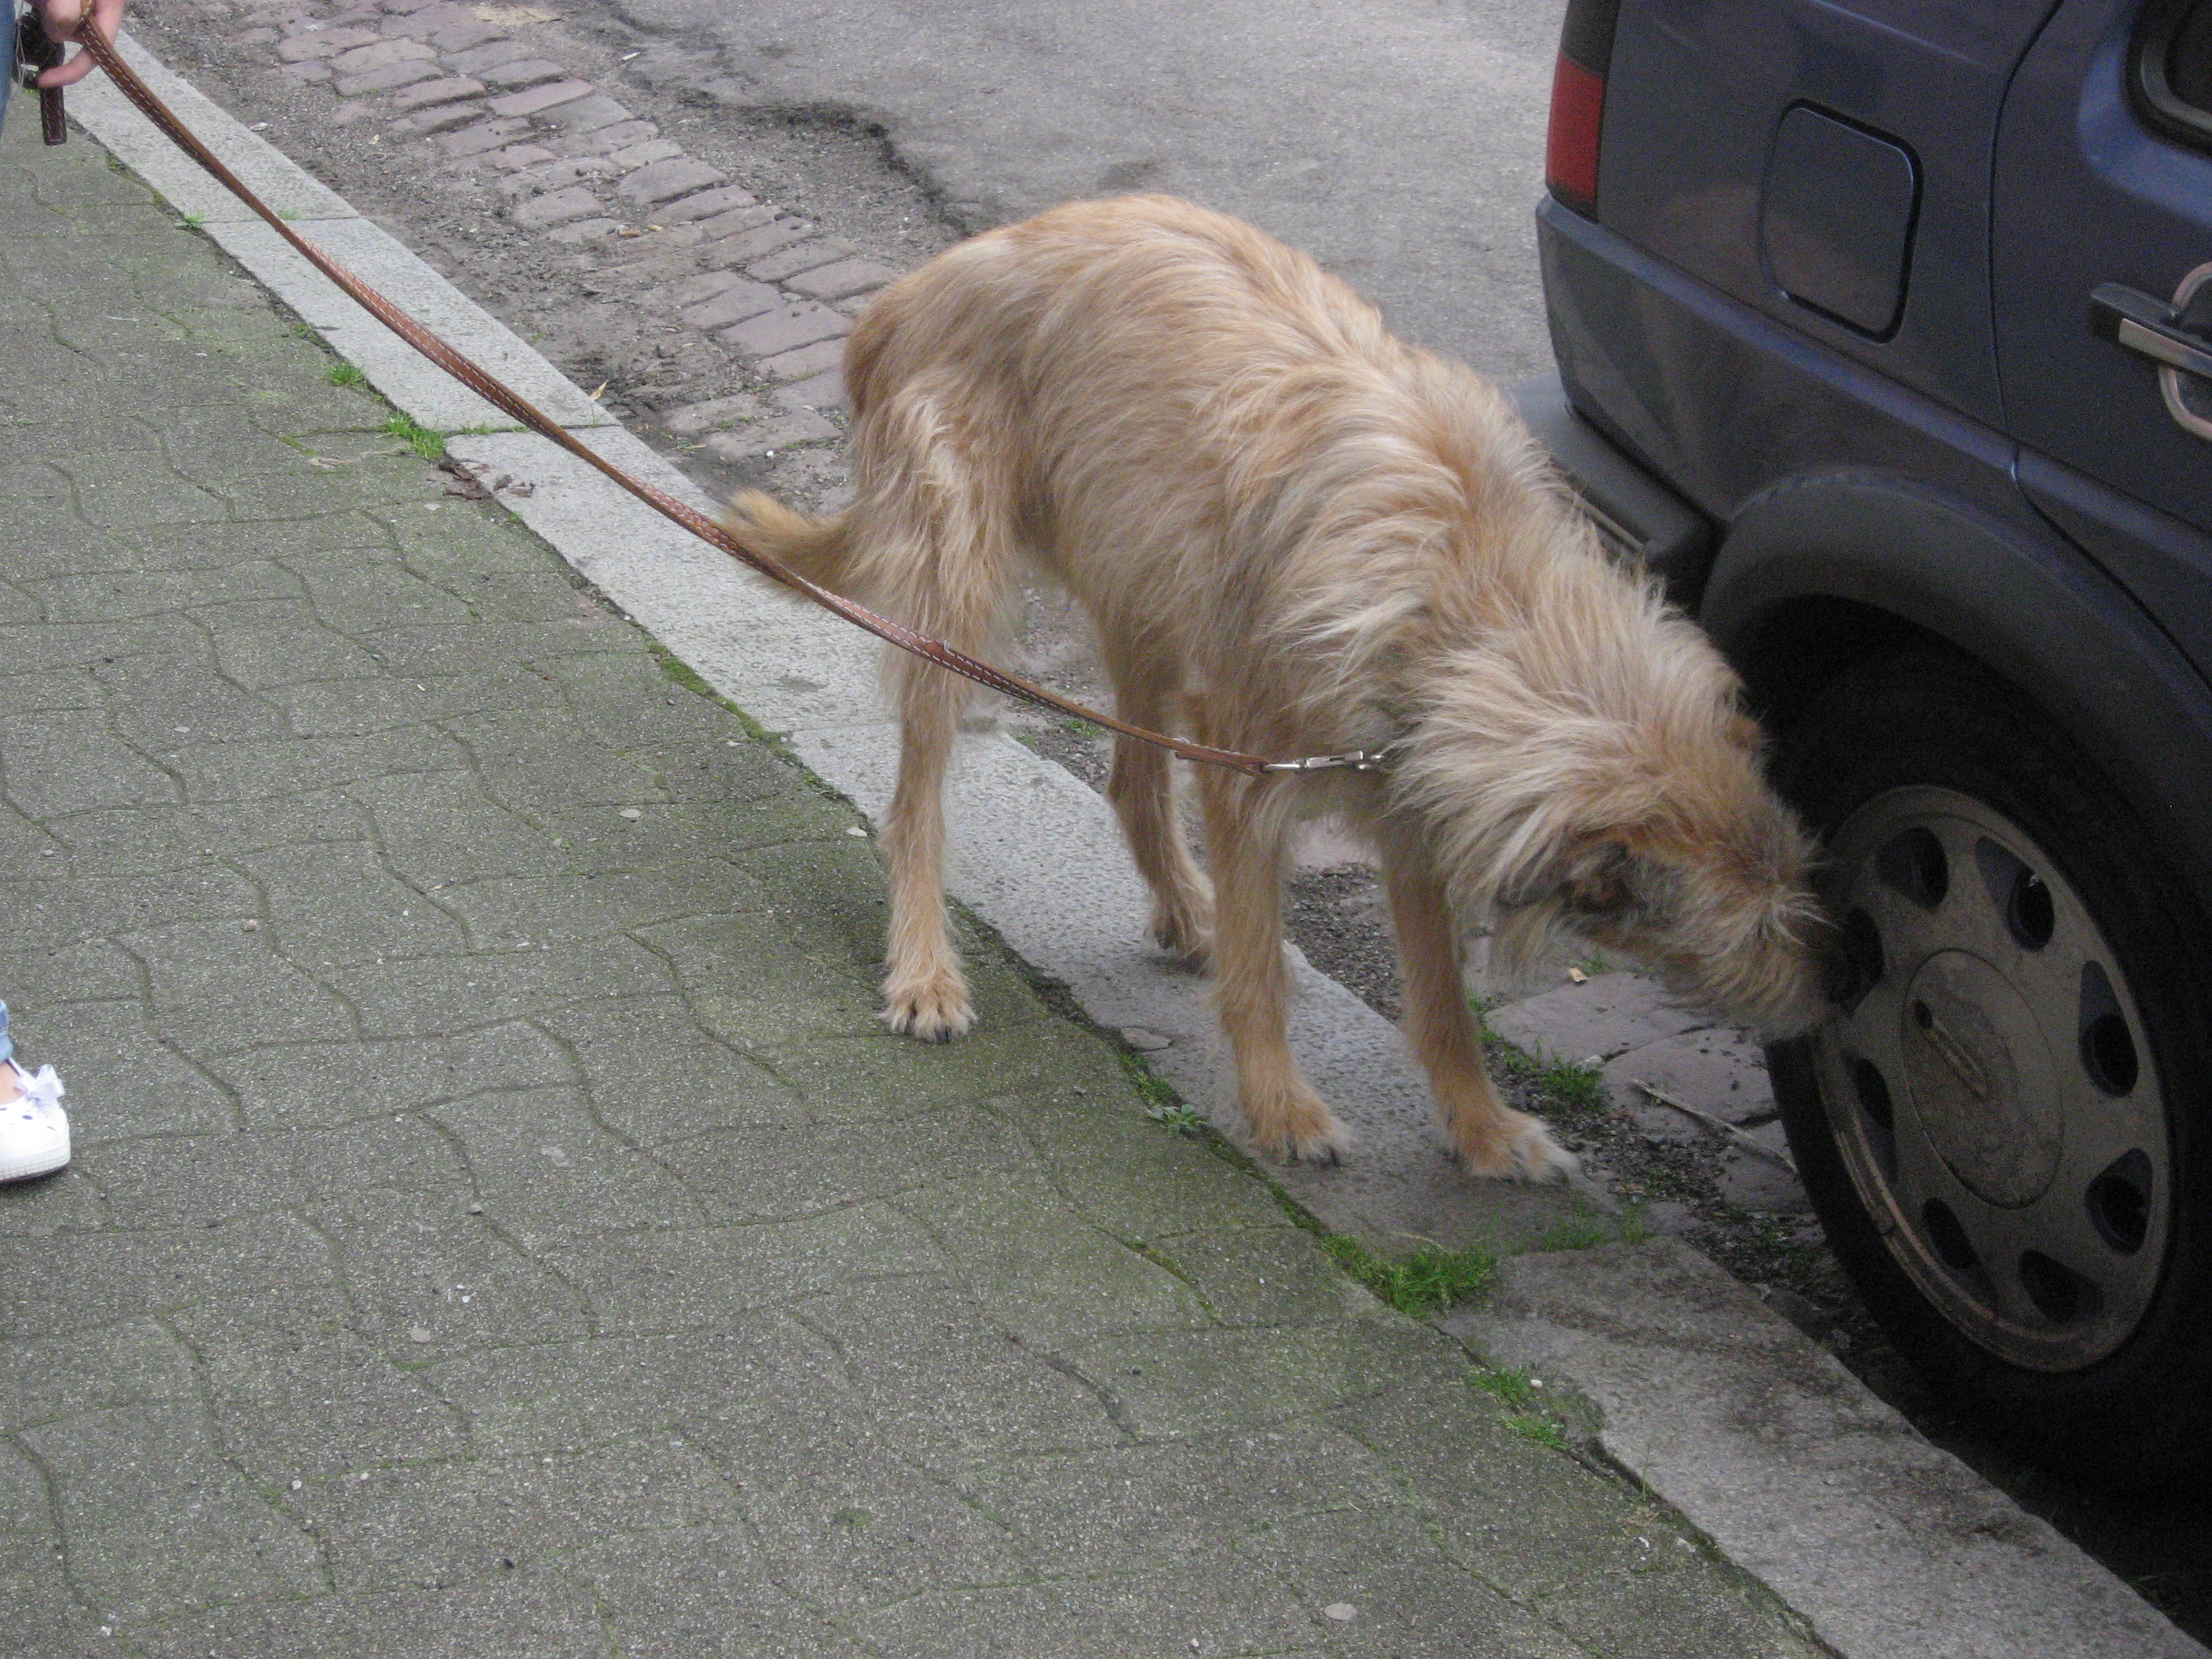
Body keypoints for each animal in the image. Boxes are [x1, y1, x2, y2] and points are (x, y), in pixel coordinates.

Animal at [724, 195, 1829, 1179]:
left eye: (1792, 890)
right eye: (1750, 928)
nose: (1831, 993)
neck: (1465, 591)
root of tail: (906, 294)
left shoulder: (1407, 795)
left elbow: (1441, 1000)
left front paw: (1480, 1129)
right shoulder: (1251, 768)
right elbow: (1261, 973)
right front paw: (1281, 1109)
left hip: (1144, 593)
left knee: (1132, 779)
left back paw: (1184, 909)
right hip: (957, 590)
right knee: (915, 803)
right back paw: (924, 968)